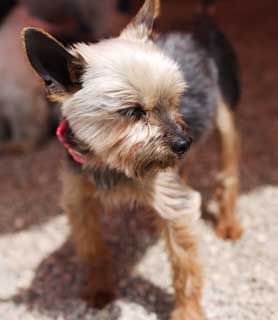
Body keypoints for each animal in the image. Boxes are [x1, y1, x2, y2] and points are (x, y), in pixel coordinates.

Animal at [22, 0, 242, 318]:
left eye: (175, 100)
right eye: (132, 112)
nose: (183, 143)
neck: (109, 162)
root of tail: (201, 19)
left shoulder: (177, 208)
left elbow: (184, 264)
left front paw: (187, 311)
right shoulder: (79, 202)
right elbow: (93, 250)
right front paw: (100, 290)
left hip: (224, 112)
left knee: (228, 170)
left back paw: (228, 223)